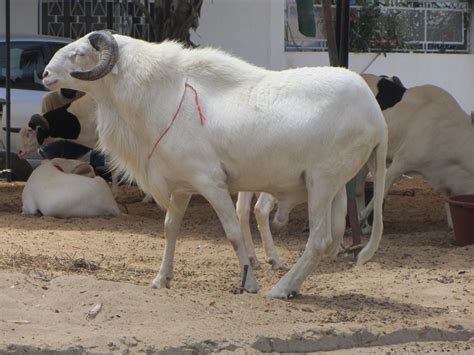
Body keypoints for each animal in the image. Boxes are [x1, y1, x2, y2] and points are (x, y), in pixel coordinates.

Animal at [42, 30, 386, 298]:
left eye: (80, 53)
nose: (45, 74)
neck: (162, 94)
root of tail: (375, 113)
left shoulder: (211, 182)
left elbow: (233, 233)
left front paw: (249, 284)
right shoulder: (181, 187)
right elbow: (170, 229)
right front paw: (161, 280)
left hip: (321, 183)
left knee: (318, 241)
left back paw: (279, 289)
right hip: (334, 188)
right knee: (330, 240)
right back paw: (292, 286)